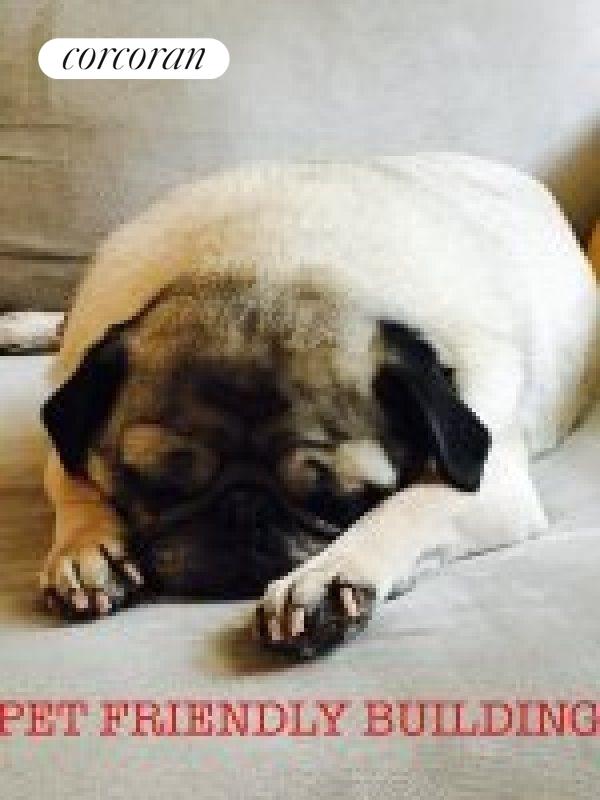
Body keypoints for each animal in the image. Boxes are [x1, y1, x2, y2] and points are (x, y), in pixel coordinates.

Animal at [39, 155, 599, 658]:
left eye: (339, 501)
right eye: (158, 485)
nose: (242, 510)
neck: (268, 255)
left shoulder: (492, 484)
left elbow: (405, 508)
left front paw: (331, 576)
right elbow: (74, 480)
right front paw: (86, 550)